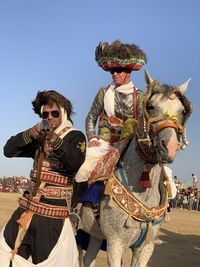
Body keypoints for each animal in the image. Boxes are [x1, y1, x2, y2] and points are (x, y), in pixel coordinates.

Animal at [77, 70, 192, 266]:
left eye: (183, 111)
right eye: (151, 106)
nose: (169, 147)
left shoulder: (145, 248)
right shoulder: (115, 244)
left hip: (94, 234)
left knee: (88, 258)